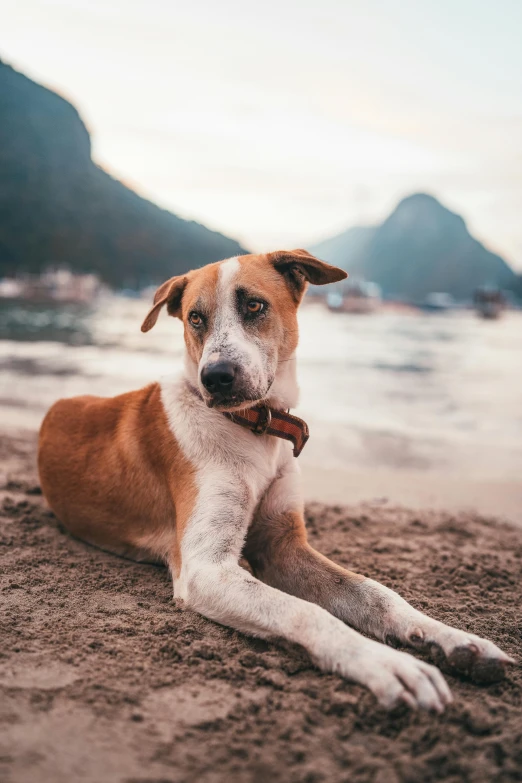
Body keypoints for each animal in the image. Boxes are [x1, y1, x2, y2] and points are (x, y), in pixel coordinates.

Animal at [38, 250, 510, 712]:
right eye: (195, 318)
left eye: (254, 306)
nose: (216, 376)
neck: (256, 430)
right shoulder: (208, 570)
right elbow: (306, 612)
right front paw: (387, 665)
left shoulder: (284, 547)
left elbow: (375, 593)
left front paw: (453, 639)